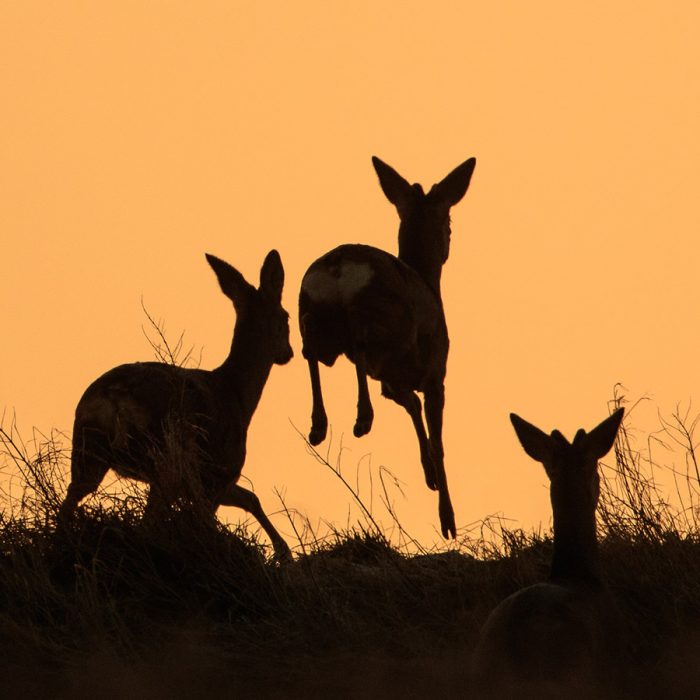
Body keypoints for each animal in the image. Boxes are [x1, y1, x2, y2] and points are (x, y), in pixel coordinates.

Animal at [56, 249, 292, 560]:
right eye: (287, 317)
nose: (288, 353)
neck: (238, 396)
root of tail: (114, 399)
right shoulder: (218, 471)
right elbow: (218, 515)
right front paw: (283, 552)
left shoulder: (213, 481)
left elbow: (250, 498)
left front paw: (283, 551)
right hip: (167, 459)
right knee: (147, 523)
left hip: (88, 451)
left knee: (68, 504)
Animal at [298, 156, 478, 536]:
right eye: (449, 224)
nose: (448, 244)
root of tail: (338, 267)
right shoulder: (435, 374)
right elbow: (438, 441)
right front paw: (448, 520)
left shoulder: (396, 381)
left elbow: (410, 405)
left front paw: (430, 478)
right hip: (383, 320)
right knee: (358, 346)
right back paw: (361, 419)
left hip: (314, 310)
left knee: (311, 348)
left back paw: (320, 425)